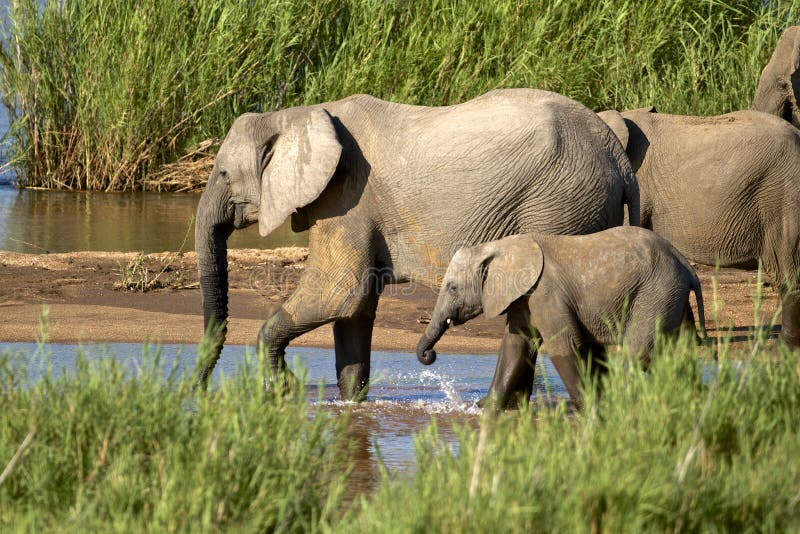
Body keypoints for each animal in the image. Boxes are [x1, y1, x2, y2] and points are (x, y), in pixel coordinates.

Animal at [197, 89, 640, 398]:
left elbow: (339, 293)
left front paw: (284, 387)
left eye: (223, 174)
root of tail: (619, 159)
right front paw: (350, 406)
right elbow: (354, 311)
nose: (196, 390)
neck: (300, 114)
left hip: (561, 204)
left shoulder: (348, 196)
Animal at [416, 227, 704, 410]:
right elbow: (515, 346)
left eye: (453, 288)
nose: (429, 355)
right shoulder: (525, 297)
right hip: (671, 295)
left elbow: (563, 345)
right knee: (678, 353)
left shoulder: (545, 292)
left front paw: (590, 408)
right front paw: (484, 408)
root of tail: (686, 266)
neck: (498, 246)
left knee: (640, 355)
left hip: (656, 292)